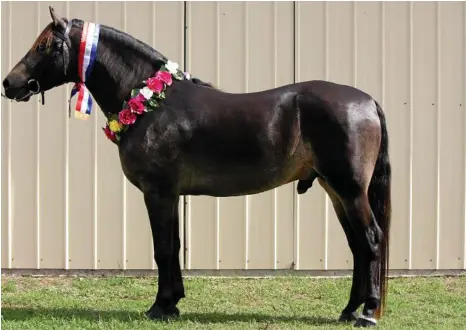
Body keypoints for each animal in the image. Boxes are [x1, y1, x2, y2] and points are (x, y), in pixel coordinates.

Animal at [1, 7, 392, 328]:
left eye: (45, 46)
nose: (9, 83)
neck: (151, 103)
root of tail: (367, 101)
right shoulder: (171, 195)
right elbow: (173, 246)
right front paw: (173, 303)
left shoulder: (158, 192)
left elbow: (162, 248)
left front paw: (160, 306)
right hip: (335, 190)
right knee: (358, 245)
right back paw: (349, 310)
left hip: (349, 190)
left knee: (371, 239)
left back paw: (367, 313)